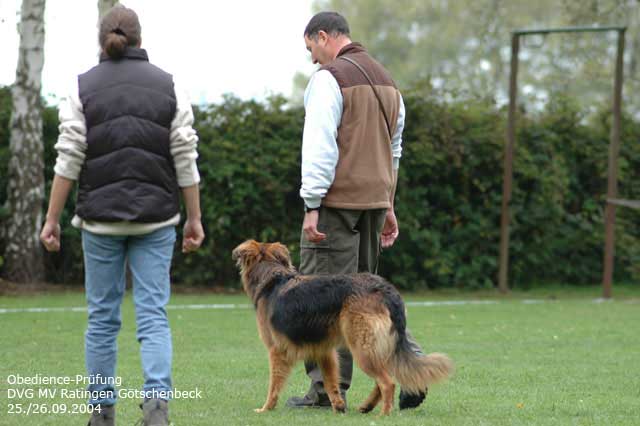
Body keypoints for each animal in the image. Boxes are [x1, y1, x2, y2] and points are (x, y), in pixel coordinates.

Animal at [232, 239, 453, 415]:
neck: (272, 277)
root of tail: (384, 289)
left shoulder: (276, 351)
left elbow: (274, 385)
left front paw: (265, 408)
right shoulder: (324, 351)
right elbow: (331, 382)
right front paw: (338, 406)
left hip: (362, 348)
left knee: (387, 382)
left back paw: (384, 414)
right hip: (380, 347)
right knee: (385, 379)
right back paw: (368, 406)